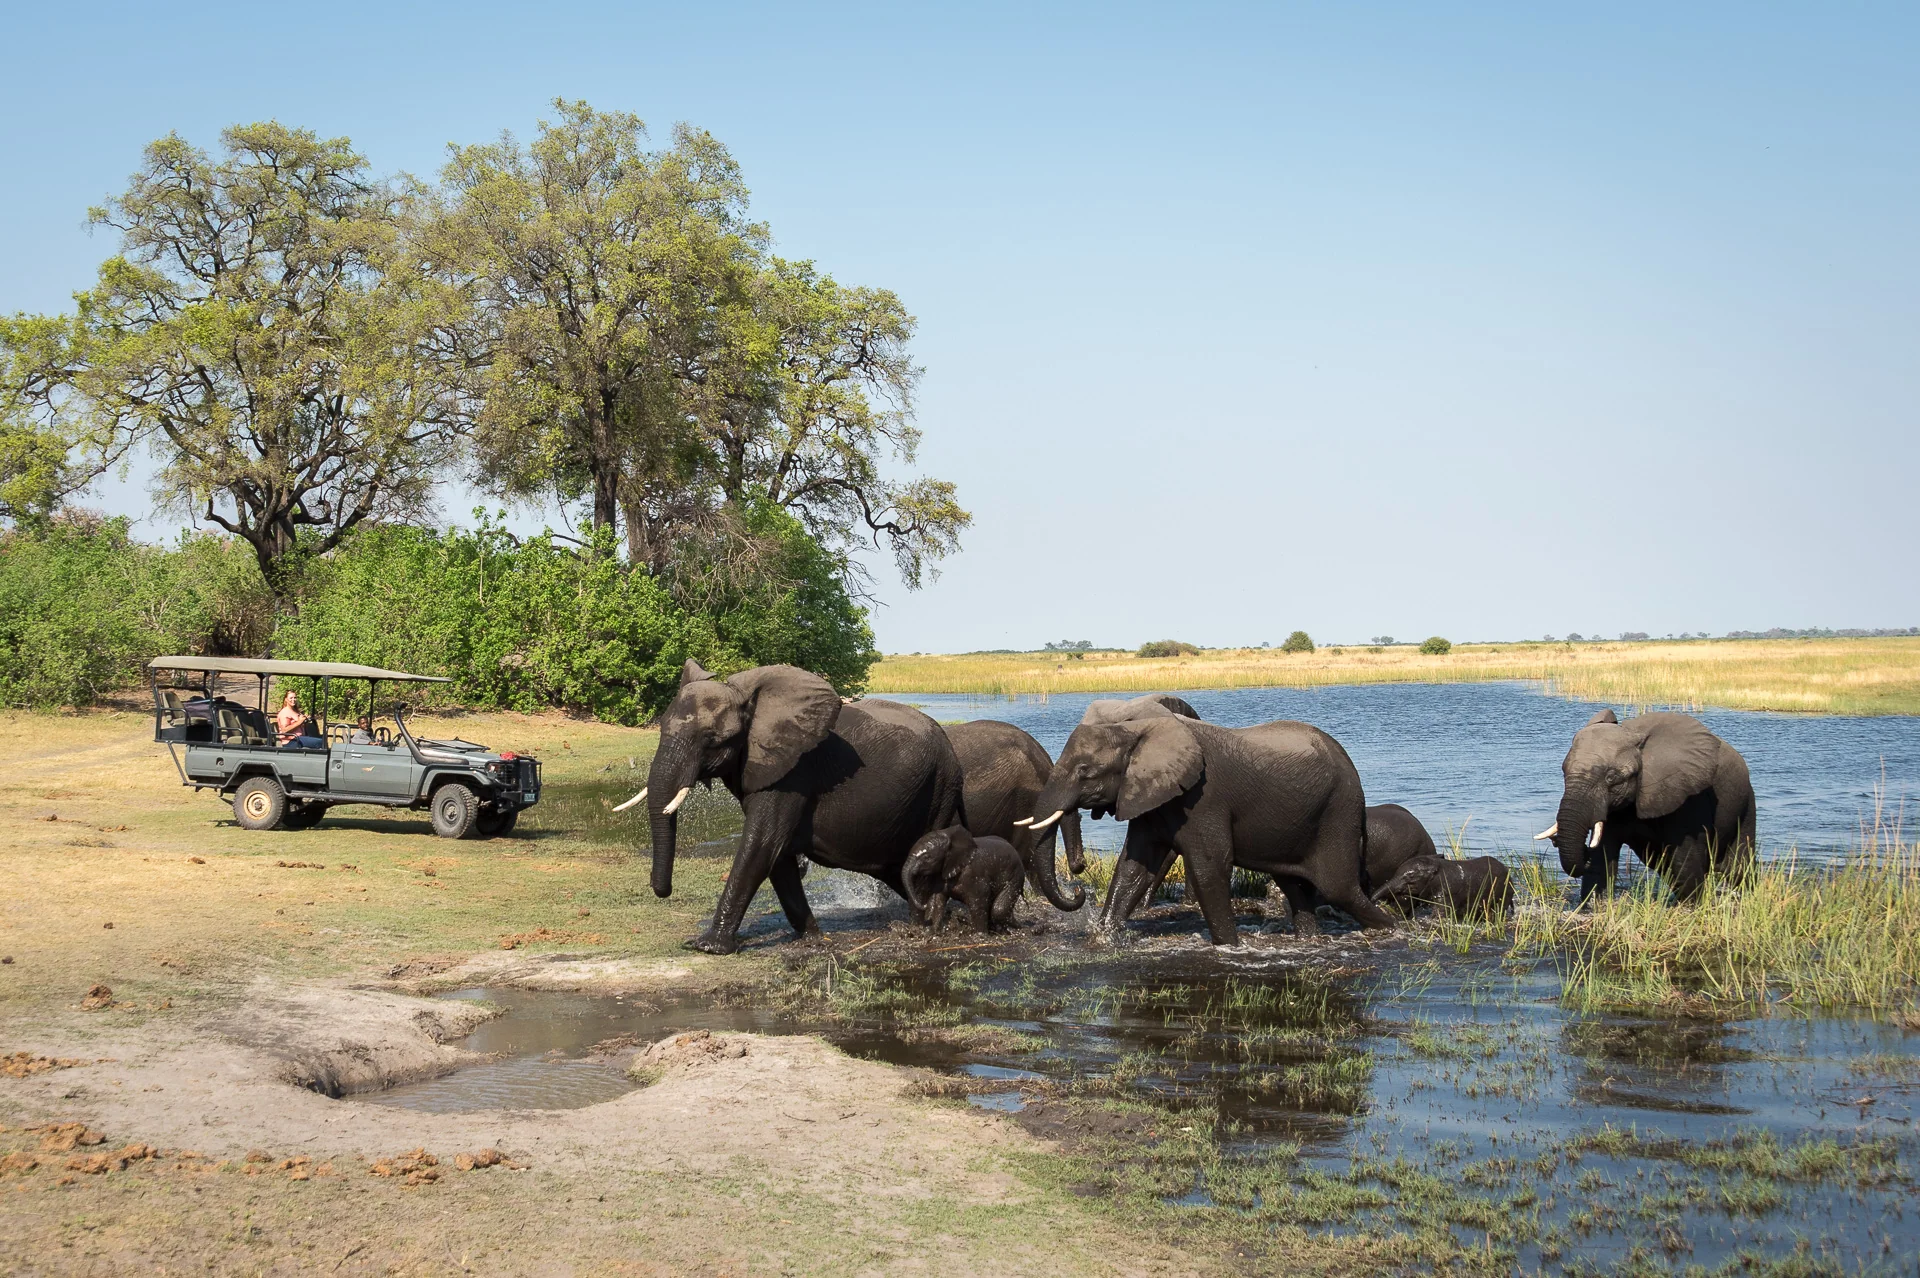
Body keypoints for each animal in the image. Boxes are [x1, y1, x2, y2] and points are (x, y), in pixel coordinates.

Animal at [625, 660, 960, 951]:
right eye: (661, 728)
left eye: (712, 739)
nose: (662, 890)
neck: (750, 702)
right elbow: (778, 855)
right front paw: (813, 938)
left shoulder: (794, 772)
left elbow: (762, 844)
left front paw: (707, 946)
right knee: (898, 869)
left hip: (940, 787)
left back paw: (922, 927)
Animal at [1029, 710, 1390, 940]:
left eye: (1085, 772)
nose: (1078, 887)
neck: (1135, 730)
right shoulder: (1152, 799)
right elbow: (1133, 868)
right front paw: (1103, 936)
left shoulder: (1204, 798)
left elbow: (1208, 867)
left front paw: (1230, 947)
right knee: (1294, 886)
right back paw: (1310, 940)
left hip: (1338, 811)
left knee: (1339, 889)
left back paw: (1393, 929)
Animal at [1536, 706, 1758, 905]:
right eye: (1564, 772)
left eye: (1611, 778)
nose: (1555, 840)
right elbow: (1602, 859)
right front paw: (1593, 906)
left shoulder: (1688, 797)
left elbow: (1685, 860)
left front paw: (1691, 907)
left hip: (1746, 802)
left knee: (1738, 866)